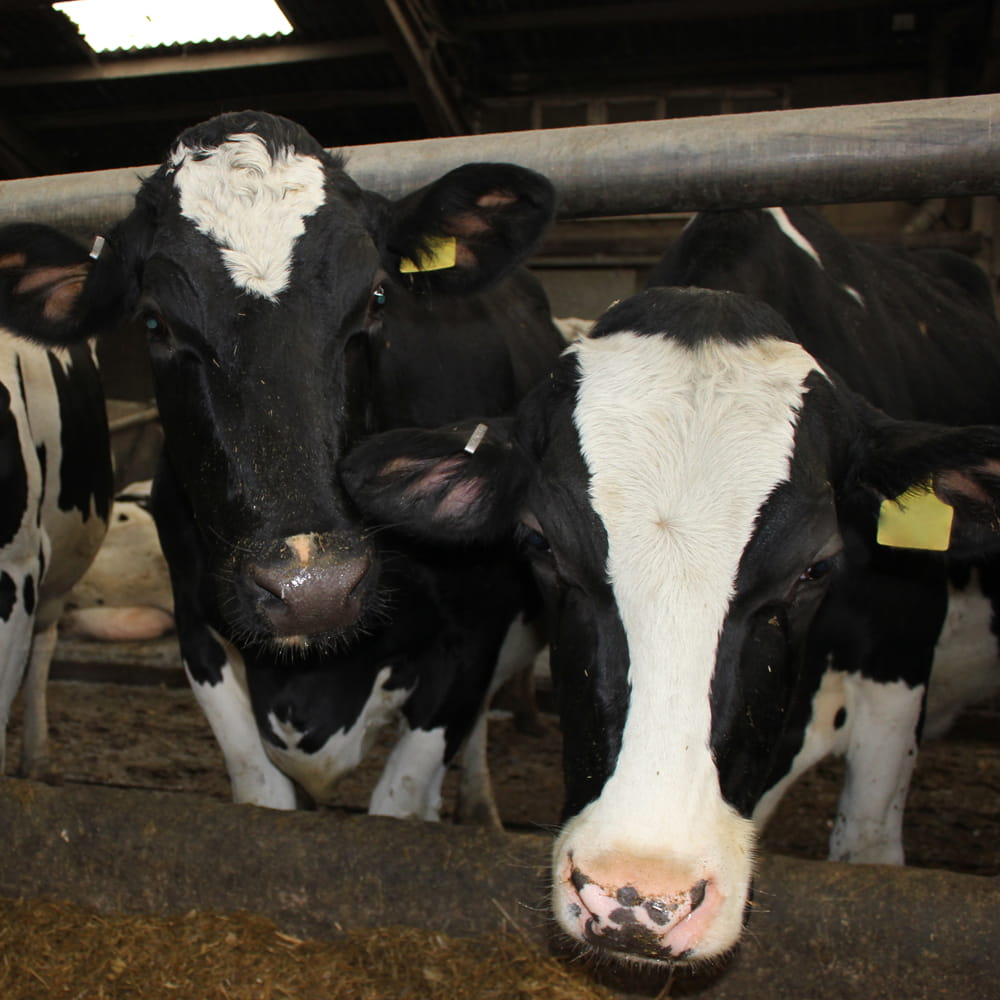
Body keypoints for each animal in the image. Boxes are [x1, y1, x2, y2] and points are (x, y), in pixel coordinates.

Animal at [0, 110, 563, 823]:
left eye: (377, 298)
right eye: (155, 322)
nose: (313, 587)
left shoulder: (472, 636)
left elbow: (401, 800)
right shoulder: (199, 631)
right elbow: (262, 796)